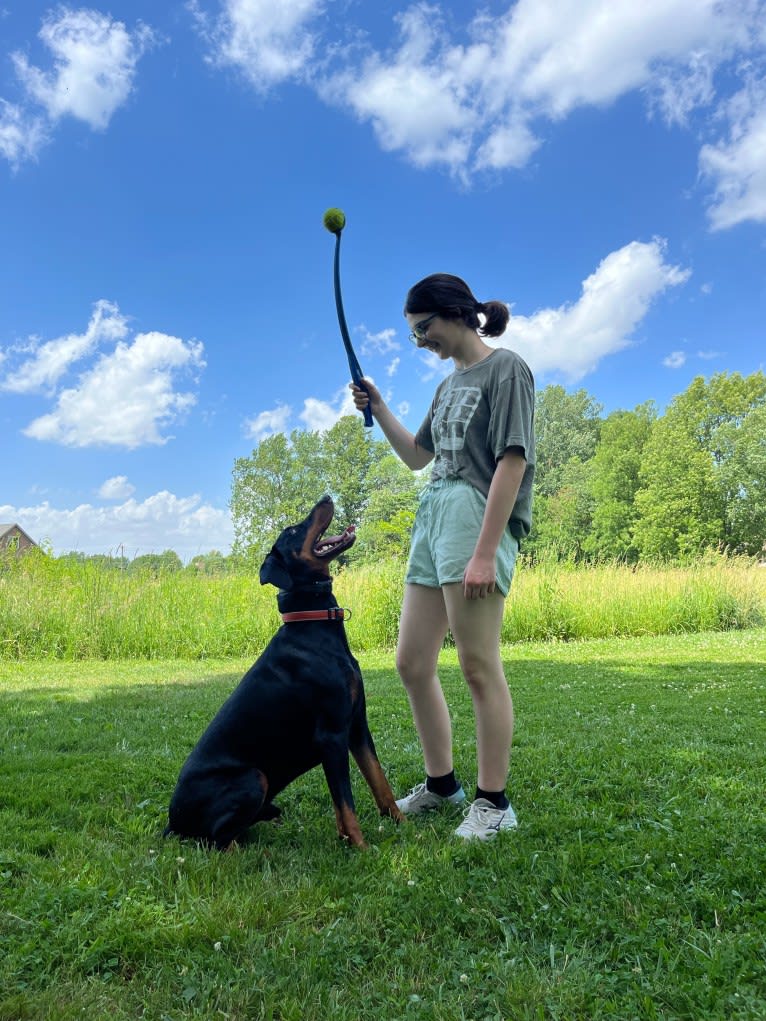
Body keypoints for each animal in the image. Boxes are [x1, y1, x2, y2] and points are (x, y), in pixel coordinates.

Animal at [165, 498, 404, 849]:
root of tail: (172, 821)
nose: (326, 498)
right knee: (218, 840)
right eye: (292, 531)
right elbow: (346, 801)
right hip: (254, 777)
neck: (313, 623)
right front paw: (361, 847)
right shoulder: (332, 734)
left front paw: (402, 826)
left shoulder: (357, 725)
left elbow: (379, 783)